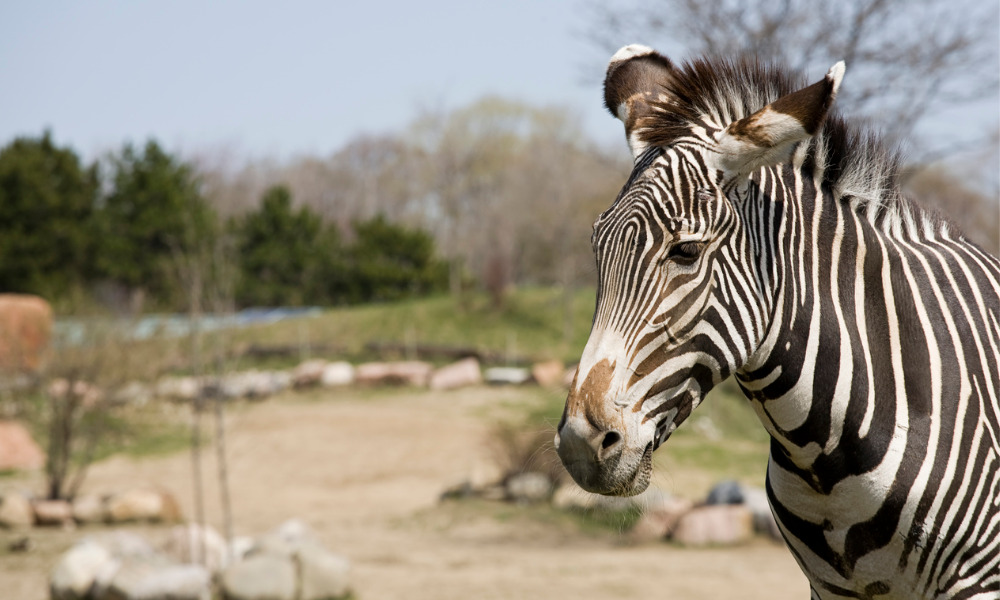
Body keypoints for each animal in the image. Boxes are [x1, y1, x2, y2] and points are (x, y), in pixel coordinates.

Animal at [556, 44, 1000, 596]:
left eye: (685, 251)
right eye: (598, 247)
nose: (580, 444)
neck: (824, 463)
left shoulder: (979, 579)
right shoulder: (830, 589)